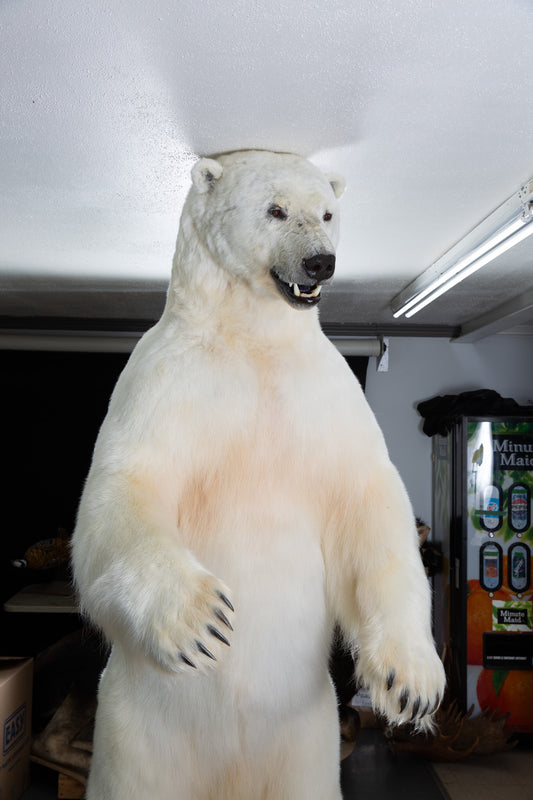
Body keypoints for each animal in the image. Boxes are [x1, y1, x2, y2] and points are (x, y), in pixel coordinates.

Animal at [72, 149, 445, 800]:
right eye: (275, 210)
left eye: (328, 212)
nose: (321, 260)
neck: (252, 335)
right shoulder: (164, 382)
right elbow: (124, 487)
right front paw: (204, 620)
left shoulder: (326, 397)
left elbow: (368, 504)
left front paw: (412, 684)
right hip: (138, 731)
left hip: (307, 737)